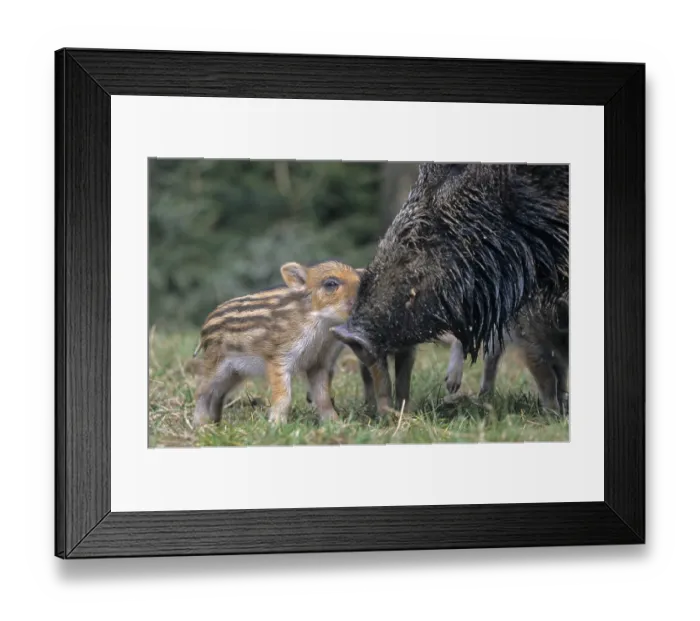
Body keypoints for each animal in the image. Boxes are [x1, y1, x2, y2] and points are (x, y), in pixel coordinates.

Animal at [192, 260, 361, 427]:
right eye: (331, 283)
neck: (322, 326)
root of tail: (204, 327)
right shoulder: (279, 357)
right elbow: (284, 396)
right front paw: (277, 425)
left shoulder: (319, 362)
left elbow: (323, 397)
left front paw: (336, 424)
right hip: (216, 364)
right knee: (202, 391)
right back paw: (201, 426)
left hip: (235, 373)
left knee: (219, 393)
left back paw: (216, 423)